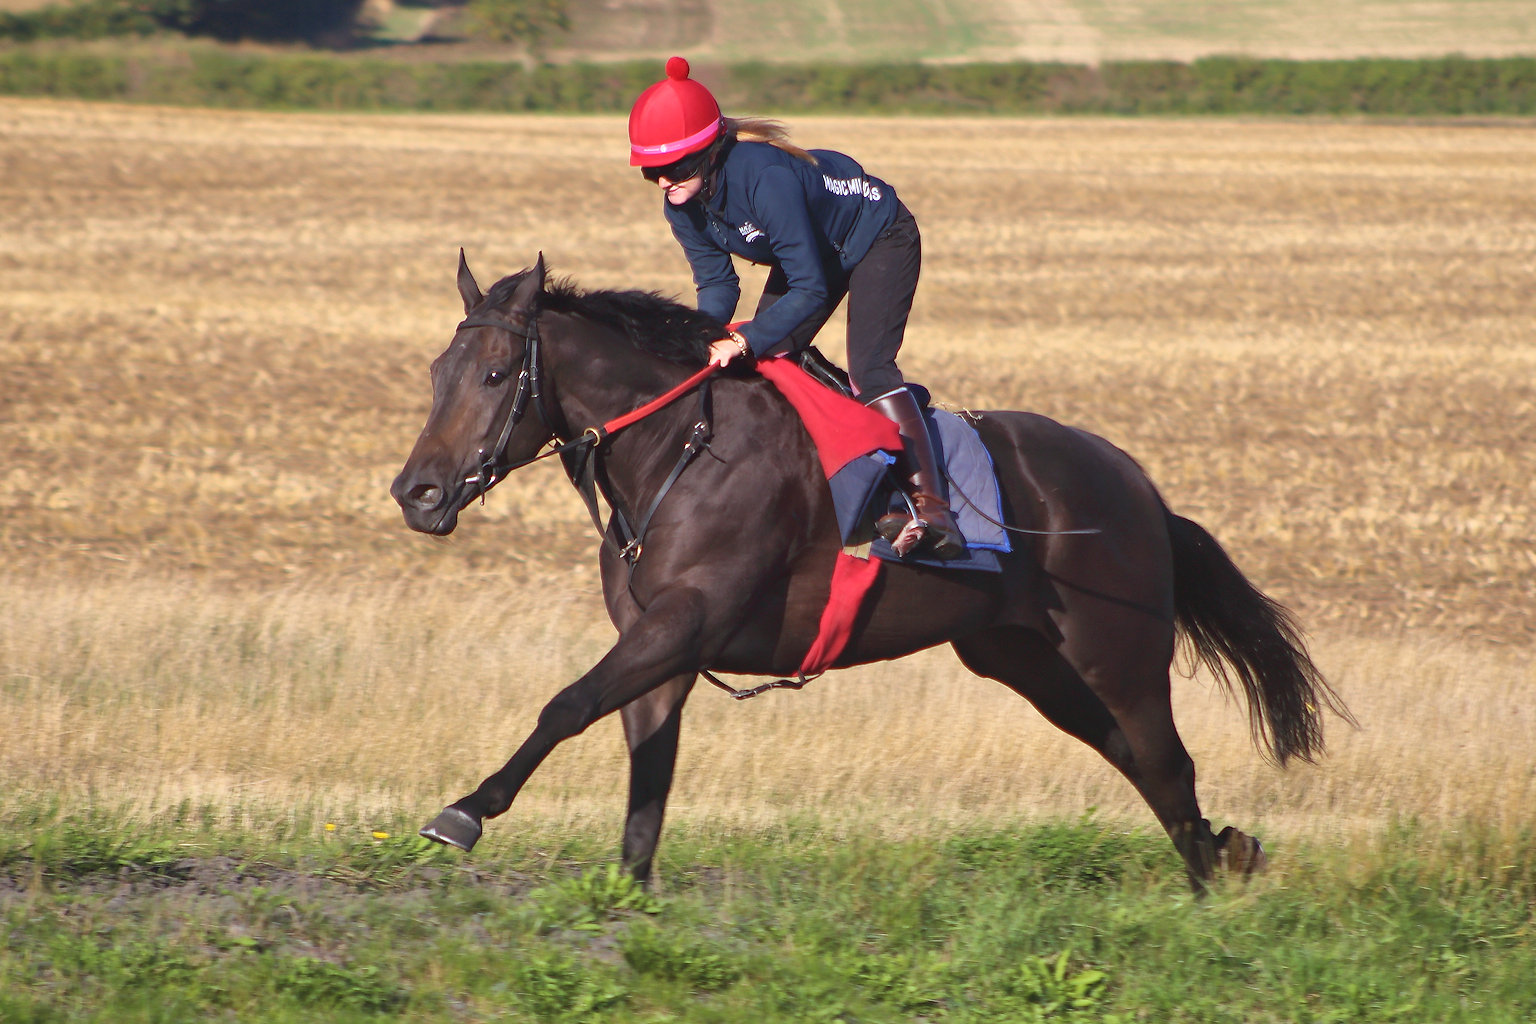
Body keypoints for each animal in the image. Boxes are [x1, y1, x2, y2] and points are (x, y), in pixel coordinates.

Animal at [390, 253, 1351, 891]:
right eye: (435, 370)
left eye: (496, 373)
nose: (416, 492)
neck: (678, 449)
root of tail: (1143, 489)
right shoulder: (662, 648)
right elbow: (645, 777)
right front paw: (626, 890)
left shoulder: (686, 620)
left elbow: (567, 703)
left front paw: (466, 810)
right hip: (1028, 661)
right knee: (1138, 761)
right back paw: (1223, 858)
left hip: (1118, 653)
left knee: (1165, 761)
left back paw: (1211, 886)